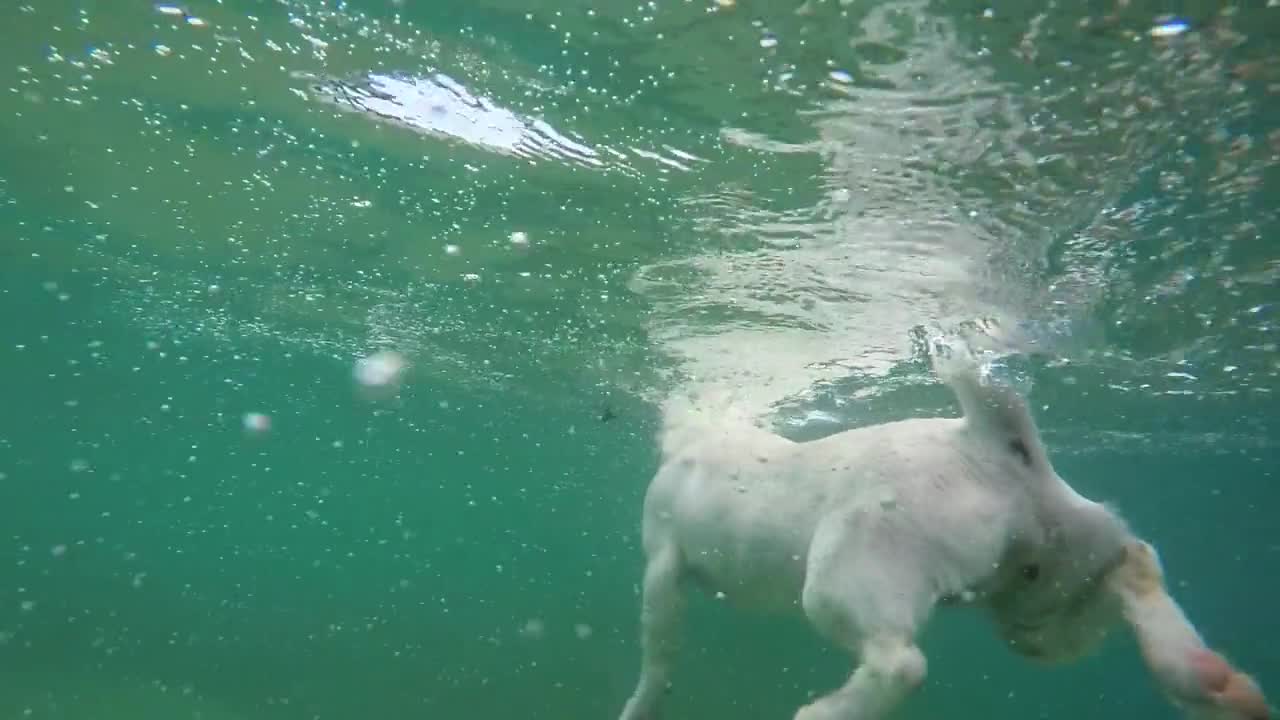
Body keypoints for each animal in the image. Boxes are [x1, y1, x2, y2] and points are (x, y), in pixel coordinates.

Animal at [614, 353, 1264, 717]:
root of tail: (994, 449)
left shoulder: (661, 559)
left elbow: (658, 647)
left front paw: (639, 706)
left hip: (843, 570)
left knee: (900, 661)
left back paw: (823, 714)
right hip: (1043, 593)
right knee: (1129, 566)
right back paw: (1212, 680)